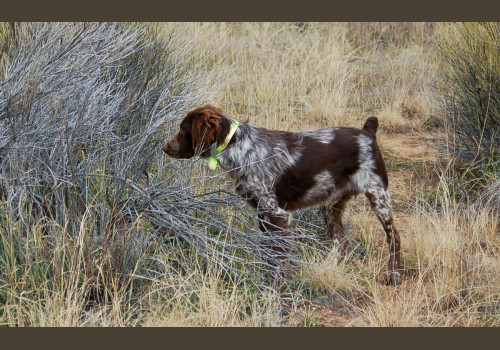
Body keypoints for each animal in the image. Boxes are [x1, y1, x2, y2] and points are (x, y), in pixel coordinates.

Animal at [164, 104, 402, 284]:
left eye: (183, 130)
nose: (164, 148)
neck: (239, 146)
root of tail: (367, 132)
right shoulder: (263, 213)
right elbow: (267, 252)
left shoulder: (278, 213)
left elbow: (278, 256)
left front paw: (276, 286)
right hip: (329, 206)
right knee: (341, 241)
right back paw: (331, 269)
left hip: (378, 196)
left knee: (394, 237)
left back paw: (394, 275)